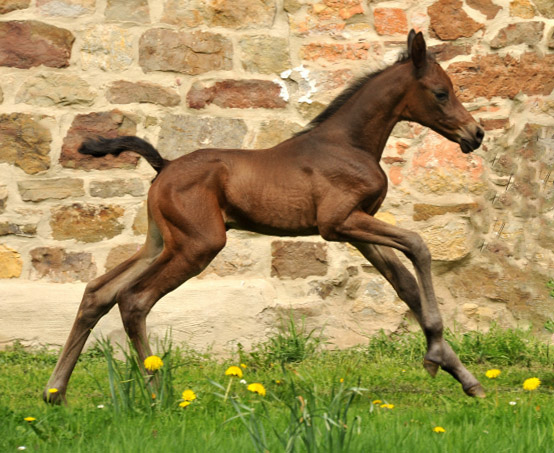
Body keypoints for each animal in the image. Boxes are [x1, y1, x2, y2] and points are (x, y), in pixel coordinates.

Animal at [44, 30, 484, 400]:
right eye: (441, 92)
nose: (475, 134)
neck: (349, 144)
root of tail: (163, 165)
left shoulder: (357, 229)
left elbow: (405, 285)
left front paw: (464, 376)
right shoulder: (338, 223)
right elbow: (419, 245)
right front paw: (435, 354)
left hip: (161, 242)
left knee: (98, 292)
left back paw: (55, 392)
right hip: (199, 245)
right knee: (134, 299)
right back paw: (156, 394)